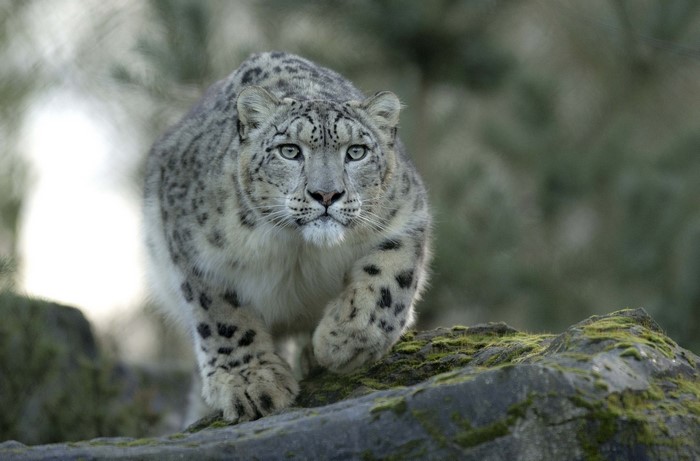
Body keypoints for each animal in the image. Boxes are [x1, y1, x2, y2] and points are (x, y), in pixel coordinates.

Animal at [143, 51, 432, 424]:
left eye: (356, 152)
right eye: (290, 151)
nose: (326, 194)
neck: (299, 250)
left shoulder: (407, 217)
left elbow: (388, 280)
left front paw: (343, 340)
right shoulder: (195, 252)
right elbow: (222, 316)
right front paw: (251, 384)